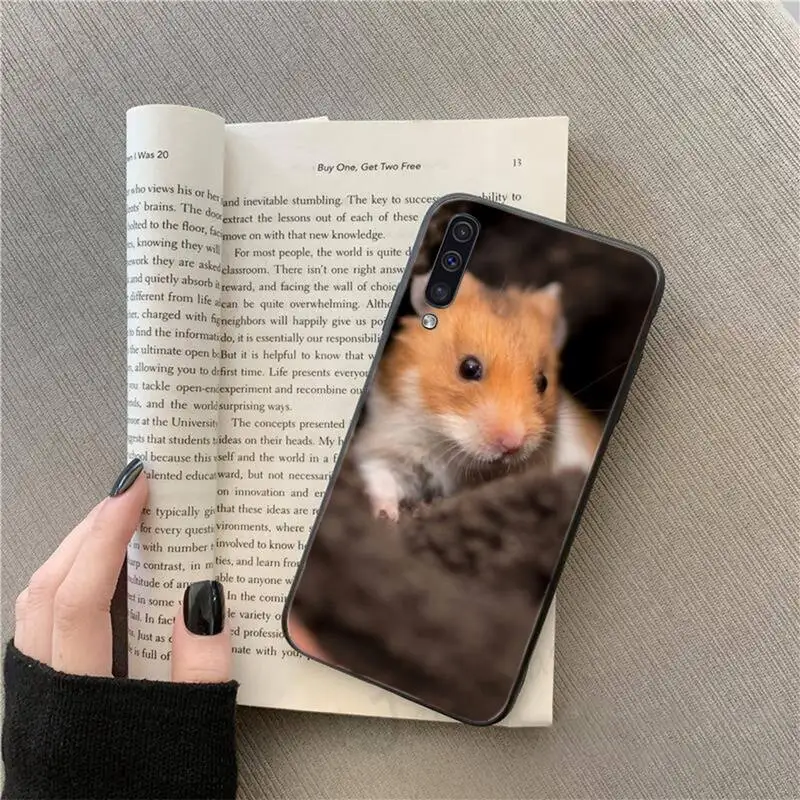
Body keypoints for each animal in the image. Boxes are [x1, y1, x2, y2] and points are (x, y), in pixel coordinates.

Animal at [352, 270, 569, 521]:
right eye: (469, 368)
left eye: (543, 382)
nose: (512, 445)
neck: (443, 440)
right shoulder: (383, 443)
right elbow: (381, 478)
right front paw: (386, 516)